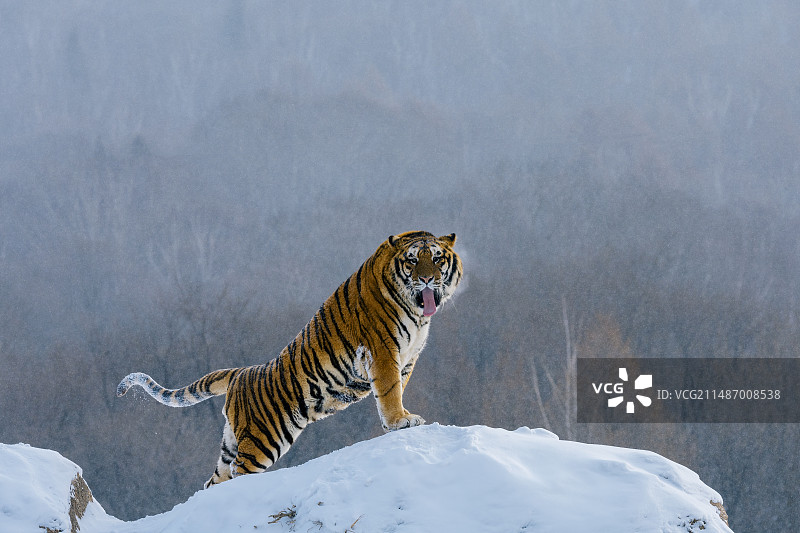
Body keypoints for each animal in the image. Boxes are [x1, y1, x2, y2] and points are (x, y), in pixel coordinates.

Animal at [117, 231, 462, 488]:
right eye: (413, 260)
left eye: (437, 258)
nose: (427, 280)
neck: (417, 312)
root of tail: (240, 373)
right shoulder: (382, 349)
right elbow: (390, 391)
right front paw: (401, 421)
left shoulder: (408, 356)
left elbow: (397, 388)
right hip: (263, 439)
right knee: (240, 472)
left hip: (232, 441)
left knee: (214, 481)